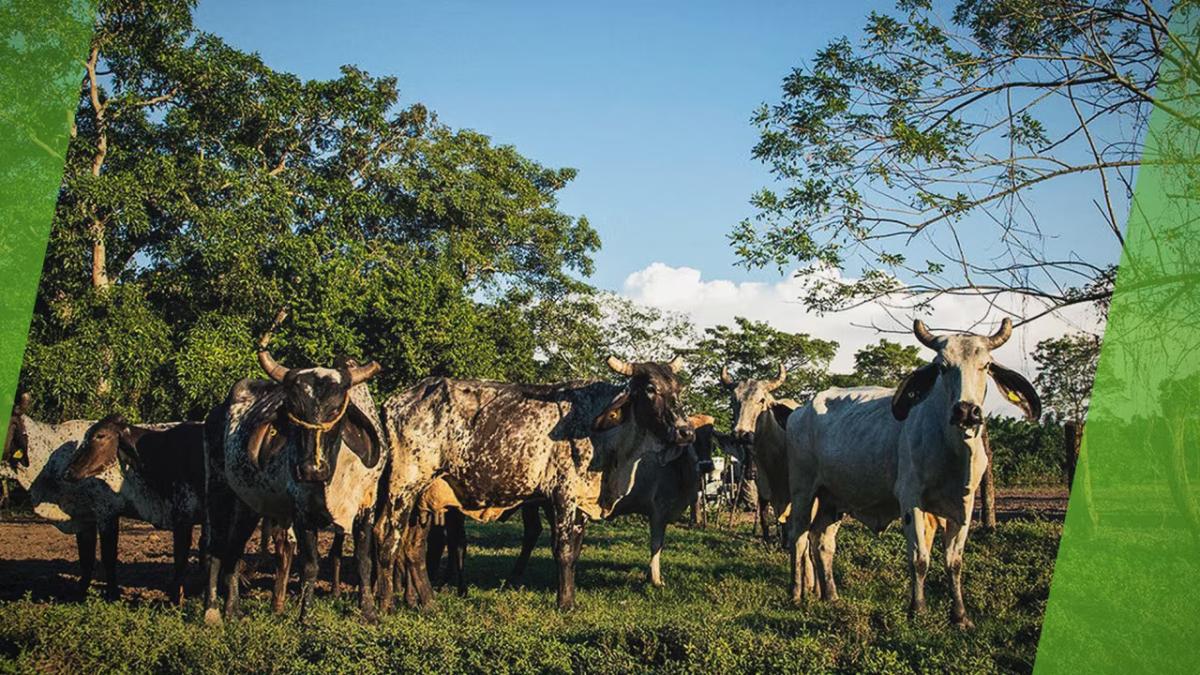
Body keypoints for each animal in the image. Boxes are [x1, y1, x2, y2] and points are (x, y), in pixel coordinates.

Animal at [202, 312, 384, 624]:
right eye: (294, 410)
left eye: (335, 409)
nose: (311, 469)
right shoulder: (302, 511)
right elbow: (310, 565)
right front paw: (305, 616)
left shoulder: (366, 507)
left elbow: (364, 561)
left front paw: (369, 612)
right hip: (219, 495)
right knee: (217, 548)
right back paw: (213, 610)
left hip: (248, 504)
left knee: (234, 551)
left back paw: (233, 609)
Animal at [372, 353, 696, 610]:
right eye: (651, 389)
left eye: (677, 389)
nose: (686, 431)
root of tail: (396, 401)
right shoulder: (562, 495)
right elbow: (563, 550)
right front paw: (565, 603)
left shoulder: (581, 501)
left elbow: (575, 552)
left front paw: (568, 595)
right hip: (403, 487)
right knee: (388, 539)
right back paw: (386, 605)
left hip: (424, 497)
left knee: (414, 547)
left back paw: (427, 603)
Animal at [782, 317, 1036, 624]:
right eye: (942, 366)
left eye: (986, 365)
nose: (966, 411)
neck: (953, 453)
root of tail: (800, 411)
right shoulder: (911, 500)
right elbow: (919, 558)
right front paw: (918, 608)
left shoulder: (964, 506)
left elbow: (954, 562)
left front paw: (960, 615)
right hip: (803, 491)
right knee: (798, 538)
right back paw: (796, 595)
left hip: (834, 499)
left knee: (822, 541)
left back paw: (830, 596)